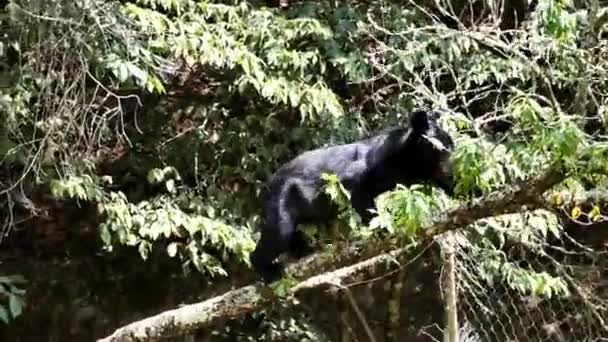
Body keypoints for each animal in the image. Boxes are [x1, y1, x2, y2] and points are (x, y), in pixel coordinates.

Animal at [249, 109, 454, 284]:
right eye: (444, 146)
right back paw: (270, 272)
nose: (452, 150)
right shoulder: (354, 178)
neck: (405, 162)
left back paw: (303, 252)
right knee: (278, 232)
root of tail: (266, 188)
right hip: (282, 199)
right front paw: (383, 228)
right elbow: (363, 202)